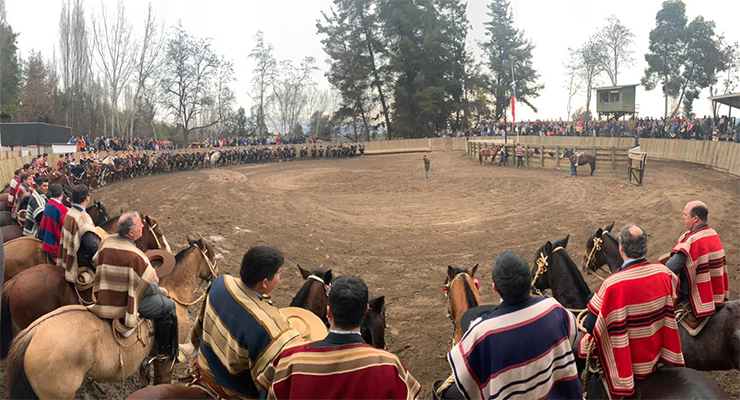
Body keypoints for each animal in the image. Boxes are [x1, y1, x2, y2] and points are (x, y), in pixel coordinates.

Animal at [4, 236, 218, 398]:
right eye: (213, 255)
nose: (216, 275)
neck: (174, 290)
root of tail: (32, 334)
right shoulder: (165, 361)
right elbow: (160, 381)